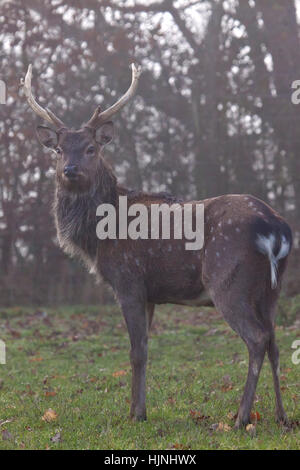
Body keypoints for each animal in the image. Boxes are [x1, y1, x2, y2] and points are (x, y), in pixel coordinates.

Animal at [21, 63, 292, 430]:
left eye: (91, 148)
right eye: (58, 149)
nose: (70, 170)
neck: (97, 238)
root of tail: (277, 229)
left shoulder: (128, 281)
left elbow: (136, 351)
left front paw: (135, 414)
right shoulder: (150, 294)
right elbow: (146, 349)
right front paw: (138, 409)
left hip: (228, 279)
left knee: (257, 338)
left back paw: (240, 418)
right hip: (271, 290)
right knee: (275, 341)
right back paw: (281, 416)